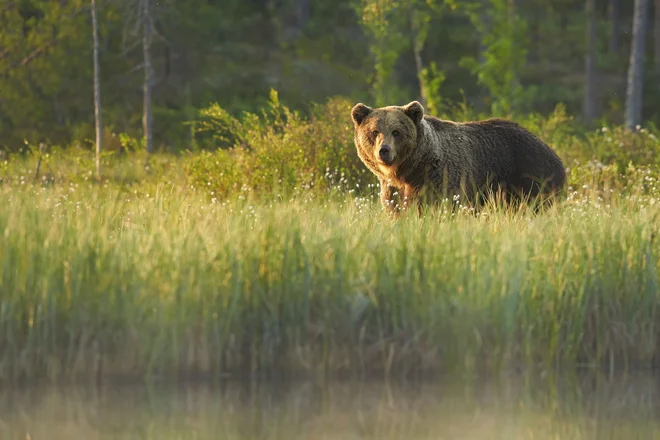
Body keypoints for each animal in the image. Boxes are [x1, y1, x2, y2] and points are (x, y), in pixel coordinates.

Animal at [350, 100, 568, 217]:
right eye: (374, 131)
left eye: (396, 132)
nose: (384, 150)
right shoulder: (392, 188)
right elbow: (396, 209)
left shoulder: (440, 179)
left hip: (530, 175)